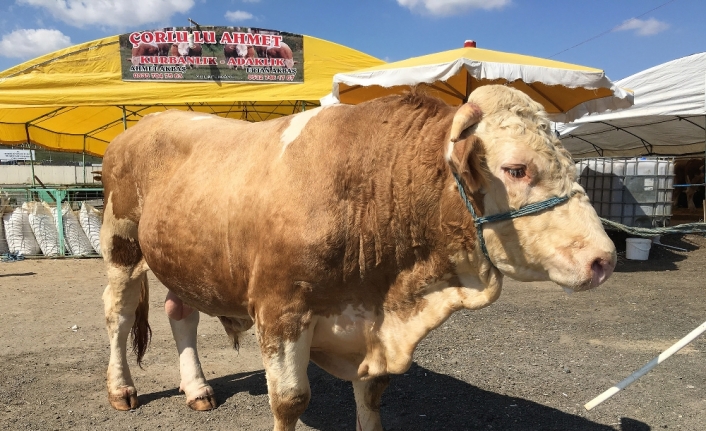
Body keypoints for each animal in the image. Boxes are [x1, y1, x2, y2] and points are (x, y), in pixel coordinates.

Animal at [100, 85, 616, 431]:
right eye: (516, 169)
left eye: (573, 163)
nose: (605, 259)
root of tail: (148, 122)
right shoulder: (281, 308)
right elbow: (289, 400)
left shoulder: (372, 325)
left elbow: (372, 395)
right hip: (121, 245)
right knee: (119, 316)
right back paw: (121, 389)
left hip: (183, 260)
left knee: (179, 312)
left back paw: (197, 389)